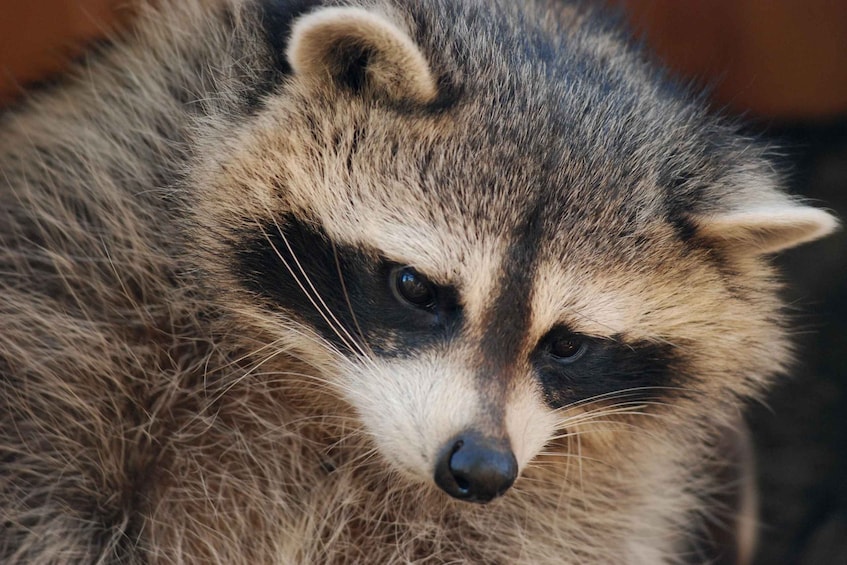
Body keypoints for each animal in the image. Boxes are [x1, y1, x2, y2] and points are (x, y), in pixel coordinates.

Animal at [0, 0, 838, 563]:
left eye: (566, 345)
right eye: (413, 287)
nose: (478, 468)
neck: (334, 408)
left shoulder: (591, 493)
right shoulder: (90, 246)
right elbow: (44, 486)